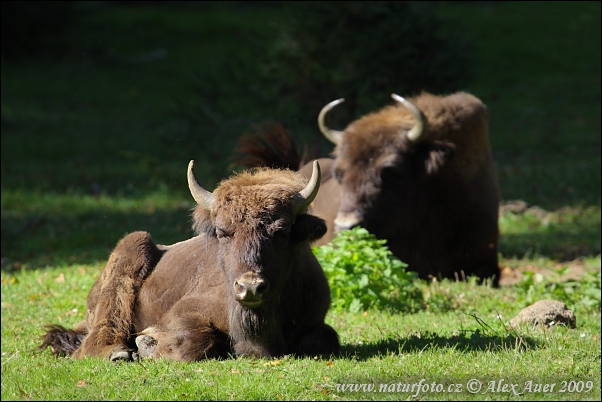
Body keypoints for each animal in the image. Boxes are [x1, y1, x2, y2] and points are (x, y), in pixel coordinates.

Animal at [38, 159, 338, 362]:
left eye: (282, 231)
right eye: (223, 232)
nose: (250, 287)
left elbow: (326, 339)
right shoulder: (185, 313)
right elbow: (194, 343)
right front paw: (147, 344)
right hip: (133, 246)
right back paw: (117, 353)